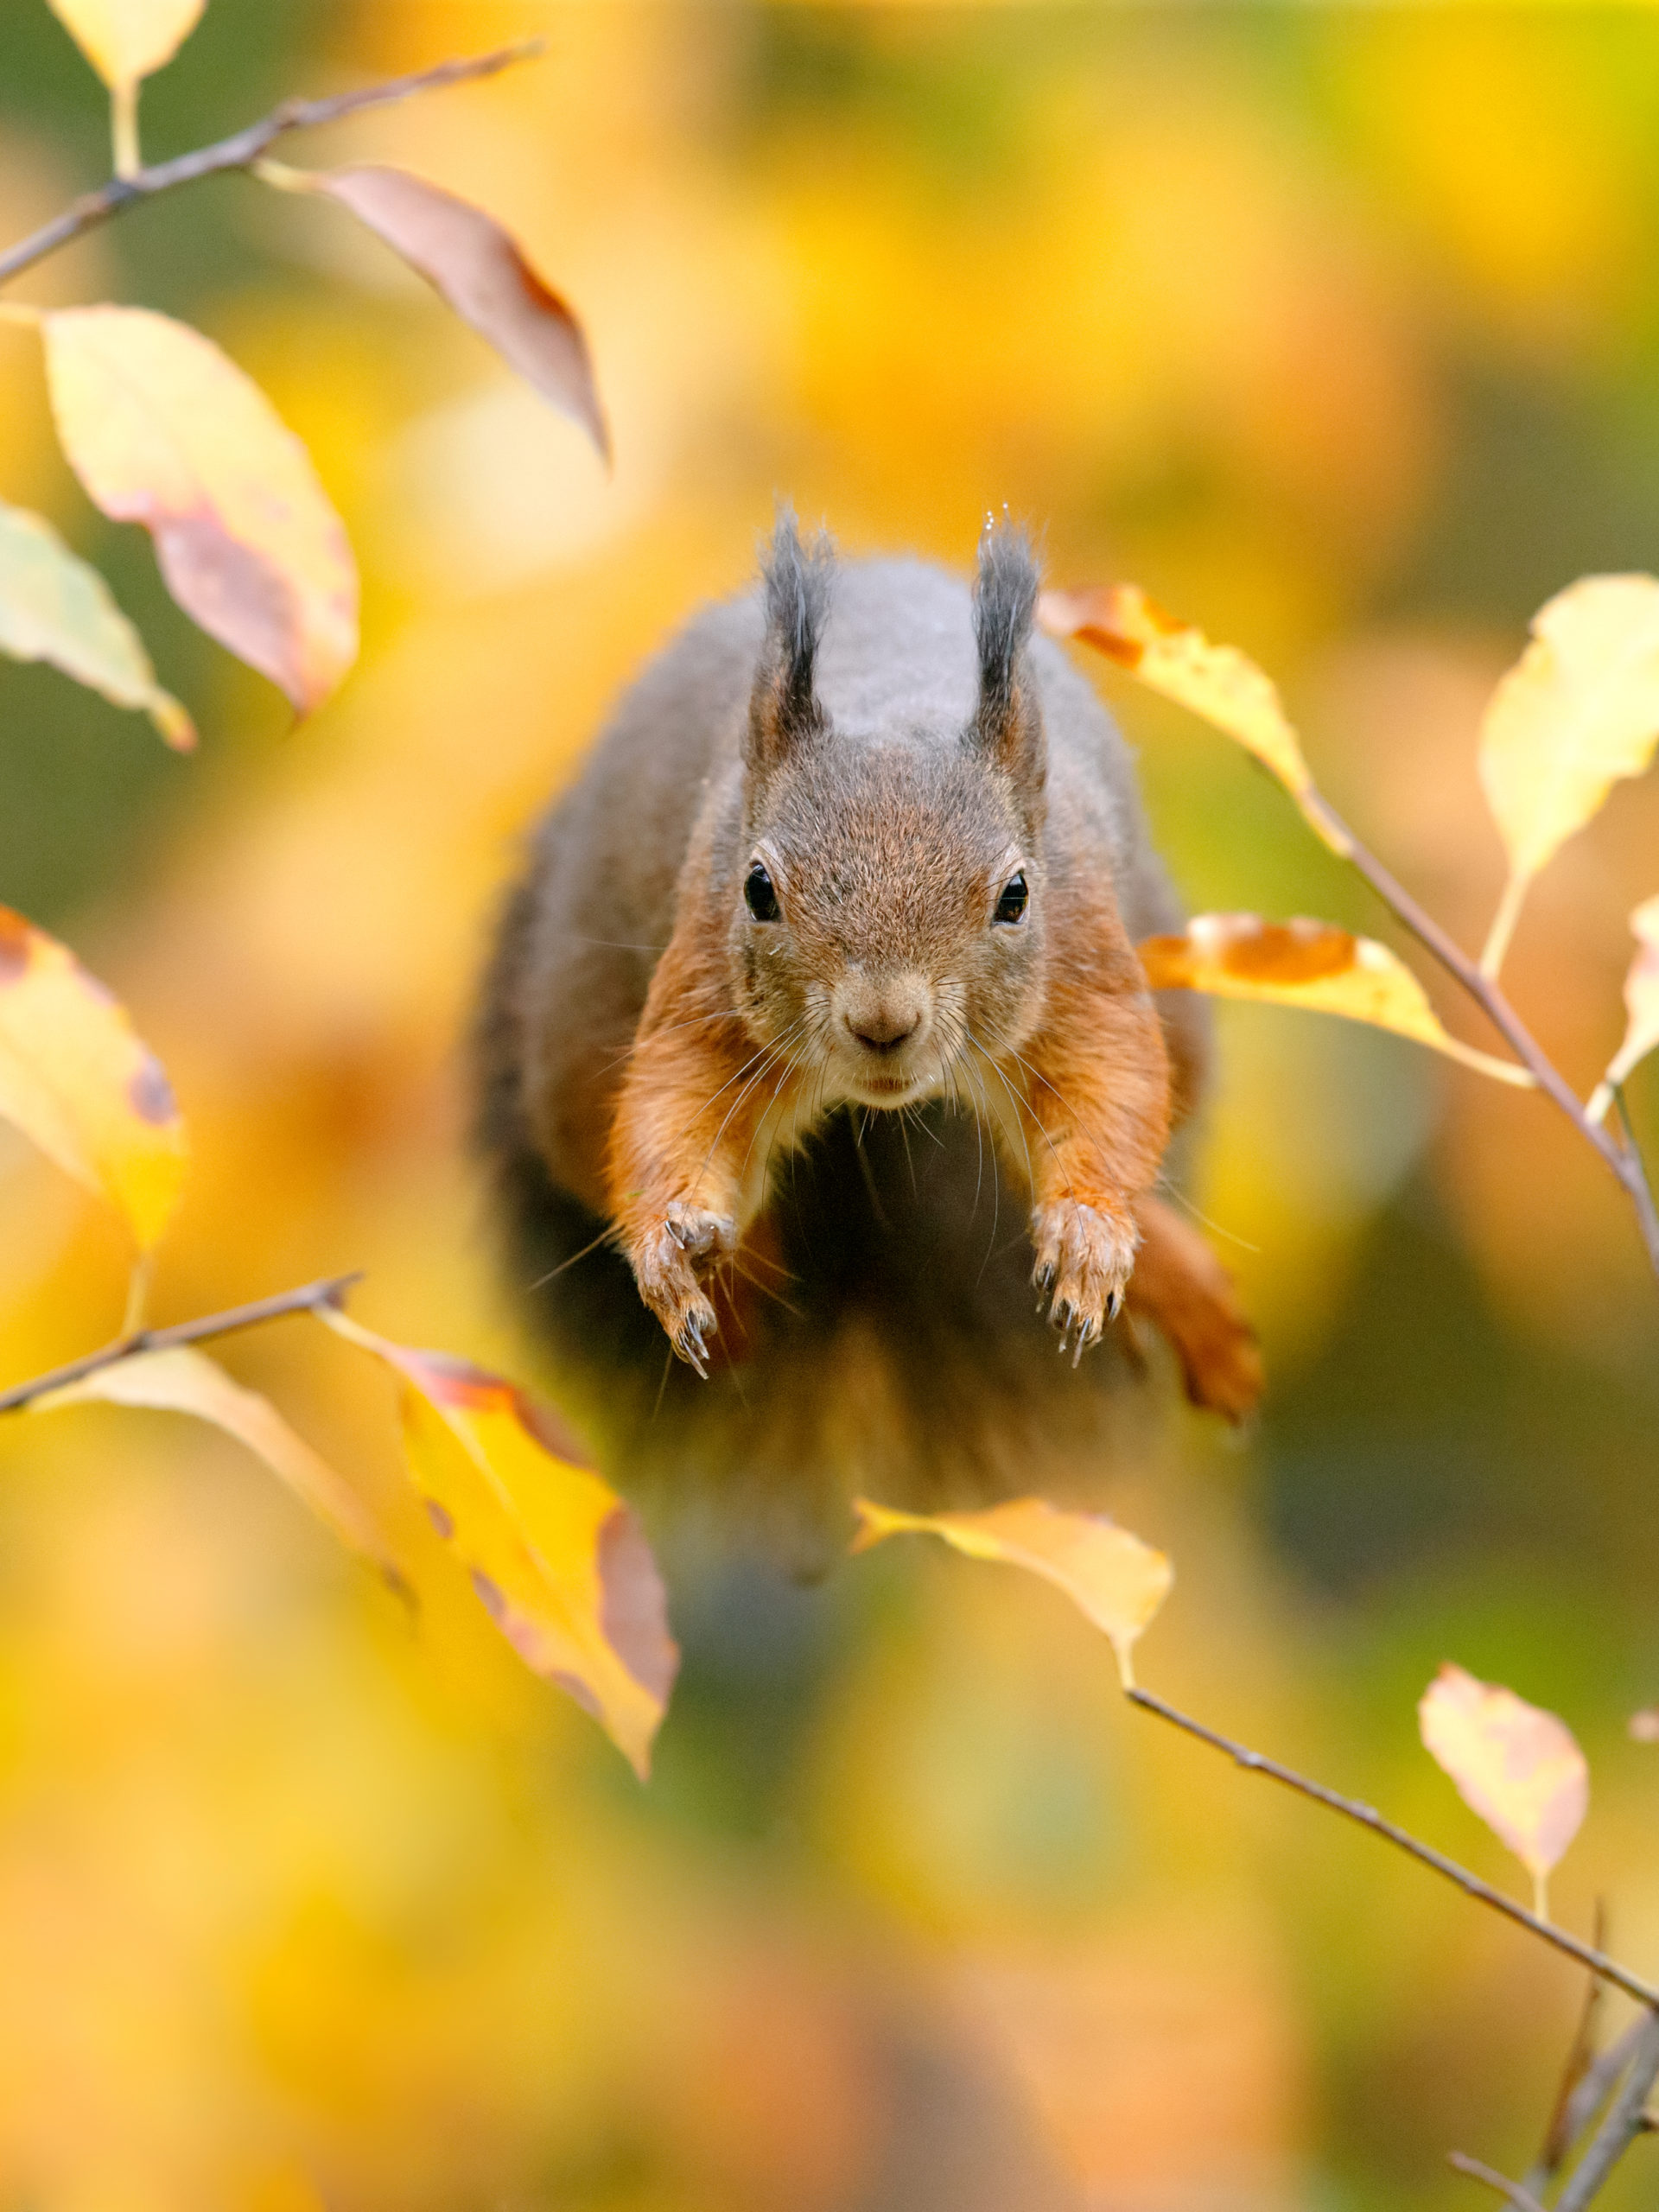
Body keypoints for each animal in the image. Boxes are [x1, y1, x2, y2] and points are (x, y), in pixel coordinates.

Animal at [477, 511, 1256, 1530]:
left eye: (1016, 895)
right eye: (758, 888)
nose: (883, 1021)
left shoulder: (1086, 956)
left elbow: (1110, 1089)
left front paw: (1090, 1236)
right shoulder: (705, 981)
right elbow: (673, 1109)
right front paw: (673, 1253)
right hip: (573, 1043)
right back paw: (742, 1281)